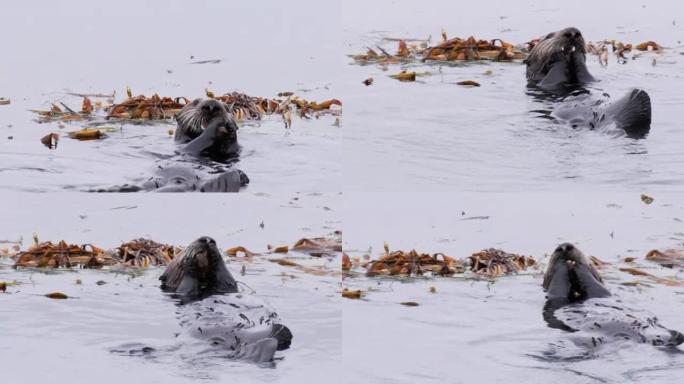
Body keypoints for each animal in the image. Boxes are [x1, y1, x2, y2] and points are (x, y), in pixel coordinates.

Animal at [159, 236, 292, 364]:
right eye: (182, 252)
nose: (206, 239)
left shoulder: (226, 285)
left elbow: (225, 277)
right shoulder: (182, 292)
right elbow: (186, 287)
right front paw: (190, 263)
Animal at [528, 28, 656, 140]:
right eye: (549, 36)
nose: (573, 32)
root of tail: (614, 121)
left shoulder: (588, 79)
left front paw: (577, 51)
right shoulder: (547, 81)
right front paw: (563, 53)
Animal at [544, 243, 680, 356]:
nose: (564, 247)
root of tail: (622, 337)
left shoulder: (601, 293)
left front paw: (577, 264)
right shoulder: (557, 296)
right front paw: (564, 264)